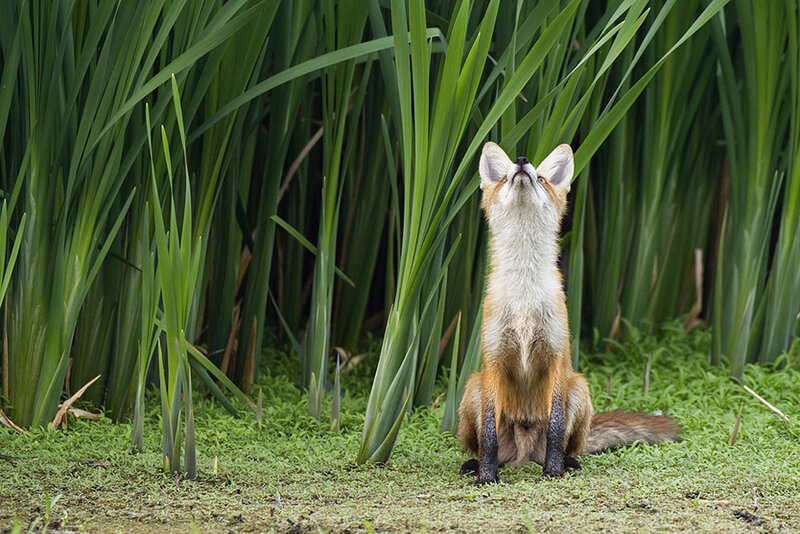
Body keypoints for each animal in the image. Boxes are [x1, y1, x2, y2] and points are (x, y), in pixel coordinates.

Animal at [458, 142, 679, 484]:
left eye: (542, 178)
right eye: (505, 177)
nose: (522, 161)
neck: (524, 298)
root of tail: (523, 455)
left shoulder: (556, 358)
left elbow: (555, 425)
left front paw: (552, 471)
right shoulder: (493, 361)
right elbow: (490, 434)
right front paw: (487, 476)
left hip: (579, 389)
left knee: (568, 444)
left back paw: (567, 462)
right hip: (473, 388)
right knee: (484, 444)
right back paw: (476, 464)